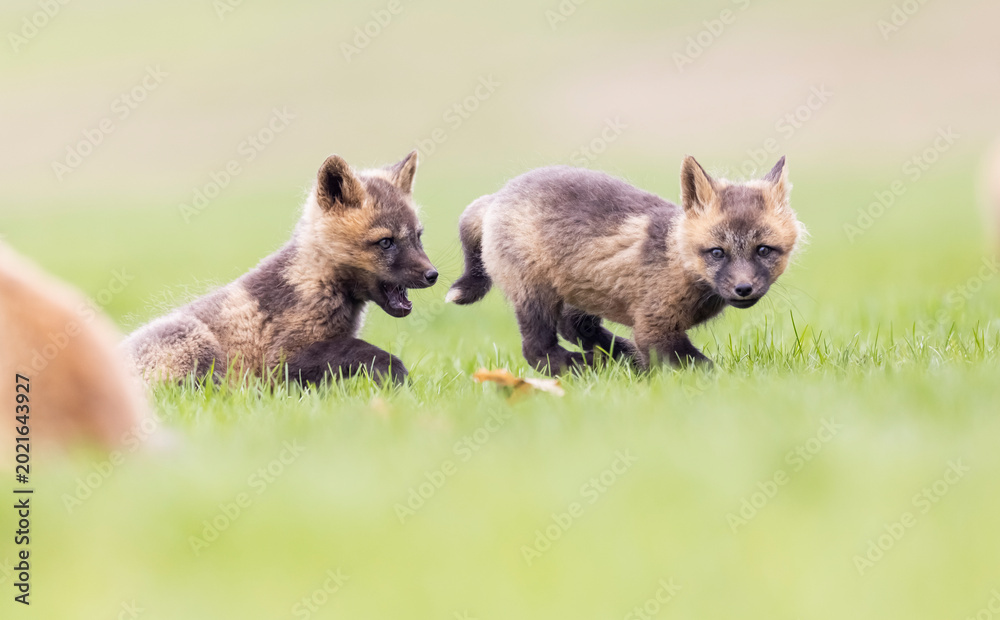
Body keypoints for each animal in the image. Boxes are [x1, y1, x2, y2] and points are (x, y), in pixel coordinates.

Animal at [124, 151, 438, 386]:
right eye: (386, 242)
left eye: (418, 237)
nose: (433, 275)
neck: (315, 283)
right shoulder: (280, 360)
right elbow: (361, 350)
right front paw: (398, 376)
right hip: (196, 343)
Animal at [446, 156, 804, 374]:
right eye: (717, 253)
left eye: (763, 250)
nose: (744, 288)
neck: (678, 261)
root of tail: (497, 196)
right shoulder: (654, 328)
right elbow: (701, 367)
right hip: (535, 297)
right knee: (537, 351)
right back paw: (587, 366)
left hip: (577, 294)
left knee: (574, 328)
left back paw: (619, 359)